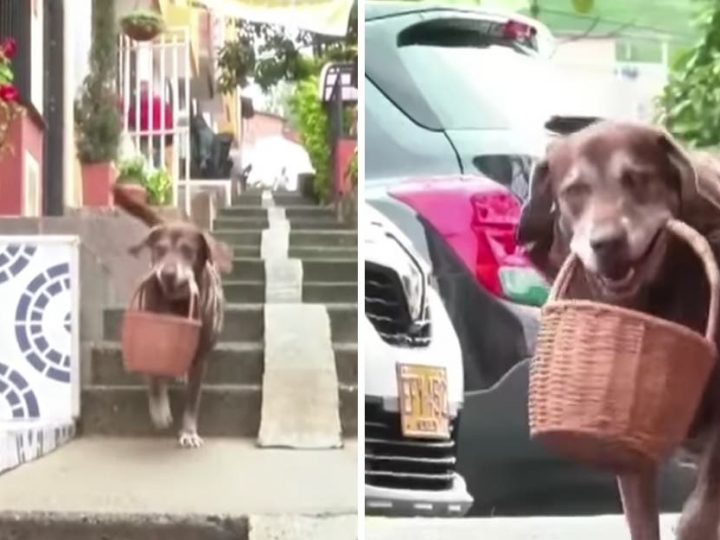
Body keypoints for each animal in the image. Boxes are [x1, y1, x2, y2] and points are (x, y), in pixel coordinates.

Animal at [113, 185, 231, 448]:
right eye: (159, 250)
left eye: (188, 251)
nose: (167, 273)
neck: (178, 301)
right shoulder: (150, 334)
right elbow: (154, 378)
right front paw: (159, 409)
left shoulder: (200, 357)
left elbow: (193, 399)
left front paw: (189, 431)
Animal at [516, 121, 720, 540]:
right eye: (575, 191)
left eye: (637, 179)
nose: (607, 243)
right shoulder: (630, 451)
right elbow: (642, 519)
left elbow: (699, 514)